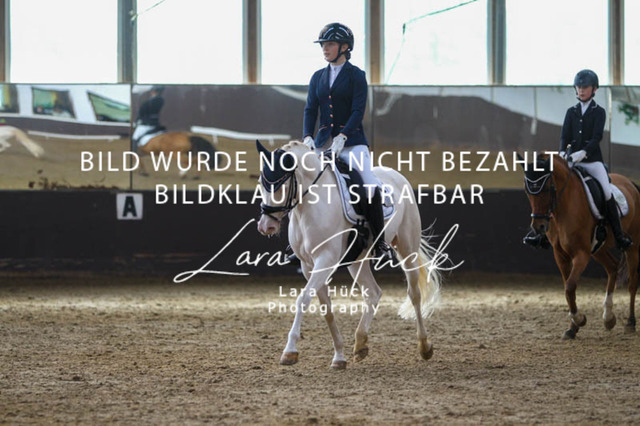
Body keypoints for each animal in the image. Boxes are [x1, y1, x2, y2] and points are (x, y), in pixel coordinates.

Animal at [255, 140, 442, 369]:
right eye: (260, 183)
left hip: (407, 248)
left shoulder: (325, 259)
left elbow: (303, 299)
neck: (309, 205)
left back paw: (424, 346)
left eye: (280, 186)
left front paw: (290, 351)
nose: (266, 226)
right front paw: (339, 356)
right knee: (373, 292)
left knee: (414, 294)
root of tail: (396, 175)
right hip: (357, 260)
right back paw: (360, 343)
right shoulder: (308, 265)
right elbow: (326, 309)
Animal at [522, 153, 640, 339]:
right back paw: (608, 317)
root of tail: (630, 183)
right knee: (612, 267)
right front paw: (573, 327)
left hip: (632, 246)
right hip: (598, 248)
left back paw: (630, 322)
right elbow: (568, 290)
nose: (538, 227)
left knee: (633, 283)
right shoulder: (560, 254)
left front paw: (580, 320)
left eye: (548, 188)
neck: (564, 208)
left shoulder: (581, 254)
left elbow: (570, 286)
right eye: (527, 191)